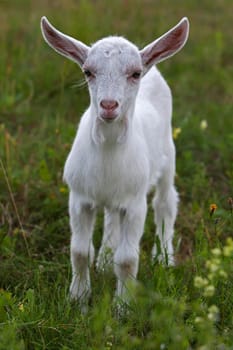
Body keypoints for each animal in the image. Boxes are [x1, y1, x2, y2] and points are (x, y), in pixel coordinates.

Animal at [40, 17, 189, 306]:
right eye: (87, 72)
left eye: (135, 74)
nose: (108, 105)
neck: (108, 151)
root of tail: (153, 67)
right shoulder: (79, 198)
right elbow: (79, 252)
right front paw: (78, 299)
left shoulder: (135, 204)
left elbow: (128, 259)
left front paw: (123, 305)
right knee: (110, 216)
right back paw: (105, 259)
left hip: (168, 156)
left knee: (165, 202)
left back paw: (163, 257)